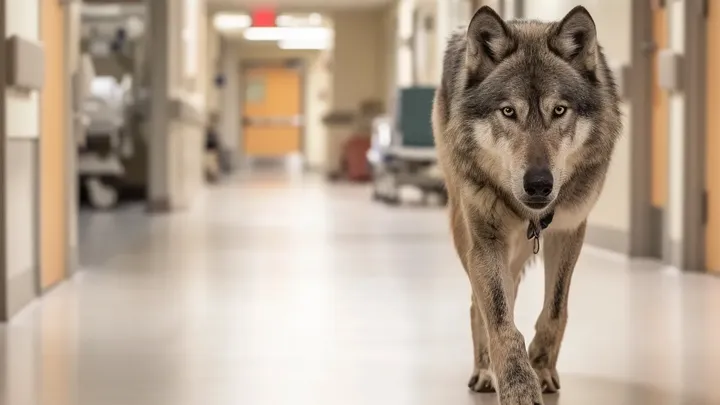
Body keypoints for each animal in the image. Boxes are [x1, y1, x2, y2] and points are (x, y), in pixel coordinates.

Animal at [432, 5, 621, 405]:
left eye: (559, 110)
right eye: (508, 112)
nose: (538, 183)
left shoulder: (569, 230)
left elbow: (555, 309)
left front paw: (542, 367)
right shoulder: (485, 241)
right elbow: (500, 321)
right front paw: (518, 385)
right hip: (465, 230)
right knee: (478, 306)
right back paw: (485, 370)